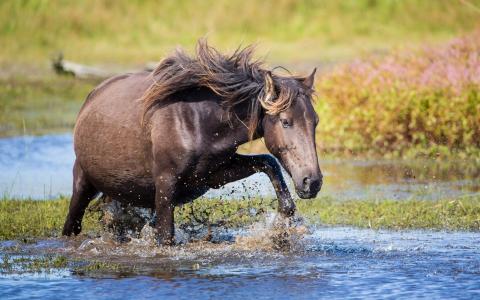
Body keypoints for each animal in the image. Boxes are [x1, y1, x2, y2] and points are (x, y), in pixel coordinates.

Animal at [62, 39, 320, 245]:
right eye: (285, 121)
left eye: (315, 121)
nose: (312, 182)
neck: (198, 121)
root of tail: (92, 96)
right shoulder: (165, 184)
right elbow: (165, 236)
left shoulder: (213, 175)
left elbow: (268, 162)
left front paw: (283, 222)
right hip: (83, 184)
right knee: (71, 225)